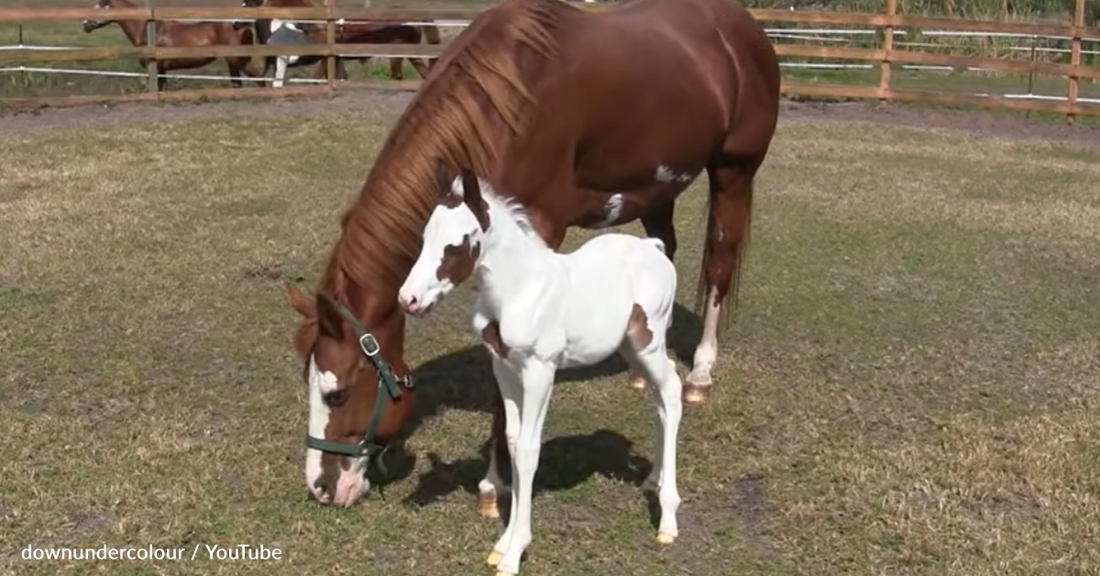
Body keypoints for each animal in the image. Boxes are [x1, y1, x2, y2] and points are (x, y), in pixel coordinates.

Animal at [81, 0, 262, 91]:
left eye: (100, 7)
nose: (85, 24)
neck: (148, 30)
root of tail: (243, 25)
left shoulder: (157, 68)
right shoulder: (163, 70)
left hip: (240, 61)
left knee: (260, 79)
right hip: (233, 62)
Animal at [284, 0, 780, 518]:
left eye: (336, 393)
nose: (320, 486)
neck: (509, 104)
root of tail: (741, 27)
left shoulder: (537, 231)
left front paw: (494, 483)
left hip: (733, 172)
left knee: (719, 265)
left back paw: (701, 372)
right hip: (659, 188)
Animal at [397, 169, 682, 576]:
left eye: (455, 246)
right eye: (424, 238)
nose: (409, 300)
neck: (518, 292)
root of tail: (654, 249)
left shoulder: (539, 371)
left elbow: (529, 450)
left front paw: (515, 552)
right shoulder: (504, 369)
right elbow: (514, 441)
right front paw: (503, 543)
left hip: (650, 341)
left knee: (672, 391)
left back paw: (668, 519)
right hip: (632, 347)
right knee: (659, 399)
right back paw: (653, 480)